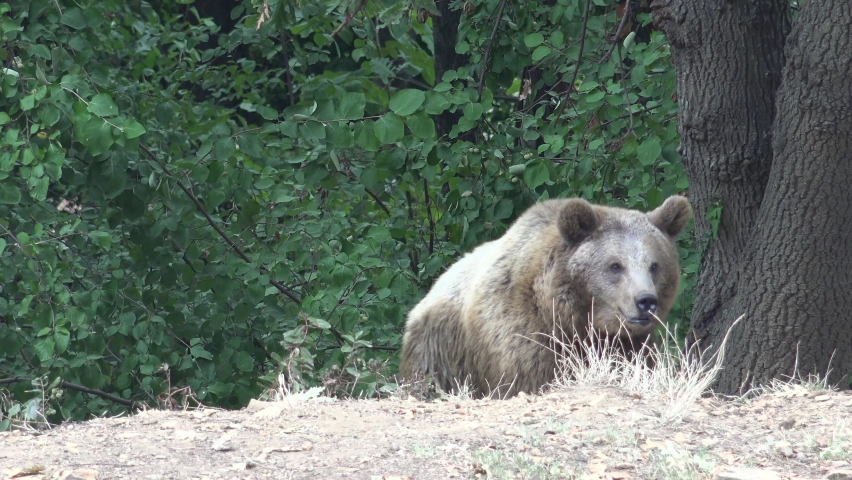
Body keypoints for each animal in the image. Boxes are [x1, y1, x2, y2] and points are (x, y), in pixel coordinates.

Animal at [399, 195, 692, 398]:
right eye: (615, 265)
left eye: (654, 265)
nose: (646, 301)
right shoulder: (521, 337)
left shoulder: (630, 345)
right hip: (441, 346)